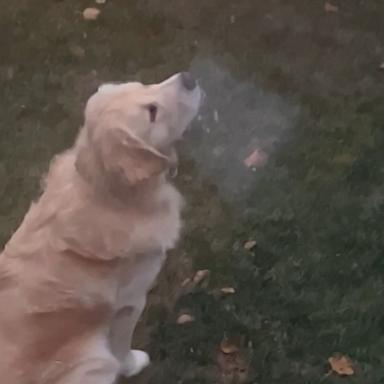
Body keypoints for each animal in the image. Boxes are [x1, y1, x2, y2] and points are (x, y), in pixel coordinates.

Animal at [0, 73, 202, 384]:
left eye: (144, 85)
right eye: (152, 112)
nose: (190, 78)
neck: (111, 196)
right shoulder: (130, 303)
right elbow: (122, 347)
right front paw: (133, 364)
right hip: (93, 359)